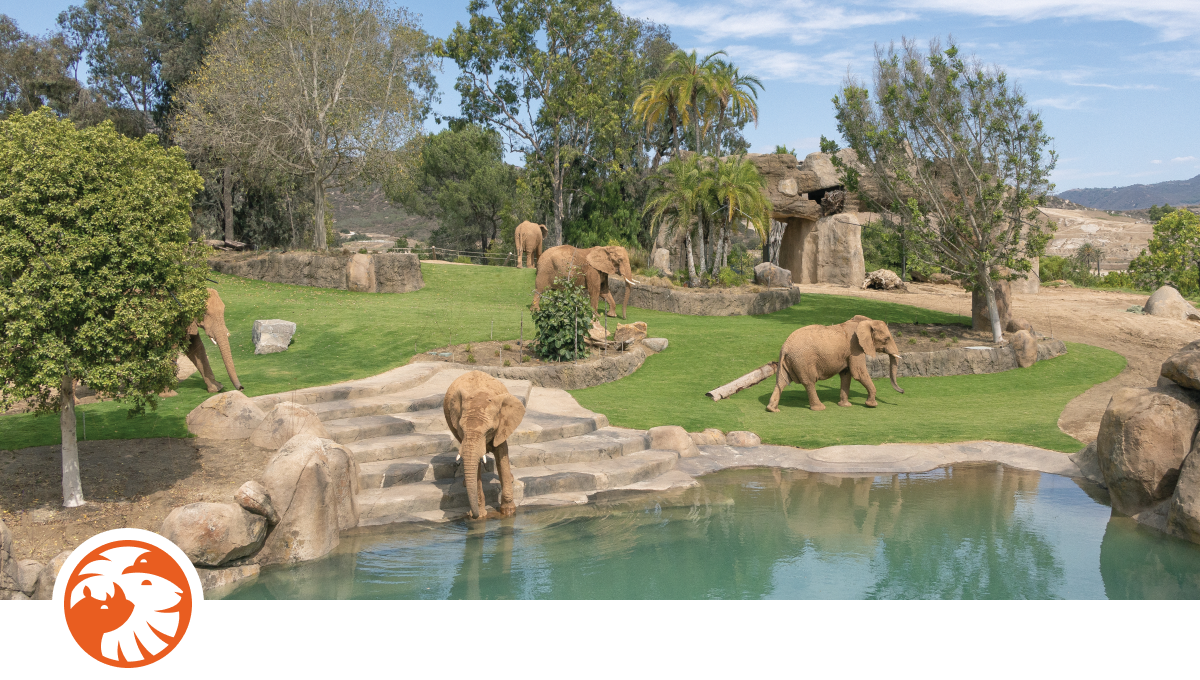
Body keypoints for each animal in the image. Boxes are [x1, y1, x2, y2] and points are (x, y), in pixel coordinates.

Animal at [443, 370, 527, 520]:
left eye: (489, 430)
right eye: (461, 428)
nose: (471, 516)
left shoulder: (502, 426)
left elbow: (502, 455)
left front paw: (509, 512)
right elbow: (475, 467)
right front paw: (480, 516)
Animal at [766, 315, 904, 412]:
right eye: (886, 339)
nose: (902, 391)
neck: (865, 322)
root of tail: (785, 347)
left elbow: (846, 374)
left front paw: (845, 405)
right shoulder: (855, 348)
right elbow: (858, 373)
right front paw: (872, 405)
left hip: (790, 361)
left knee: (781, 382)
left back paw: (772, 409)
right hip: (803, 361)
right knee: (809, 382)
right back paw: (820, 408)